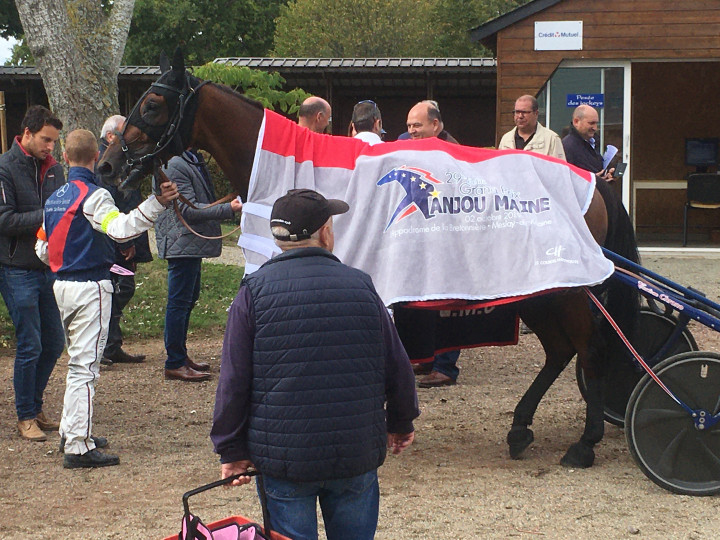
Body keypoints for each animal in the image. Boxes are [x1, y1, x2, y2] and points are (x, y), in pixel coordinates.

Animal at [97, 48, 640, 468]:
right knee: (561, 351)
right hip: (536, 290)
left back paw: (585, 443)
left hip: (566, 290)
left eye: (153, 103)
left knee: (589, 350)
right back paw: (522, 428)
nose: (107, 163)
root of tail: (590, 181)